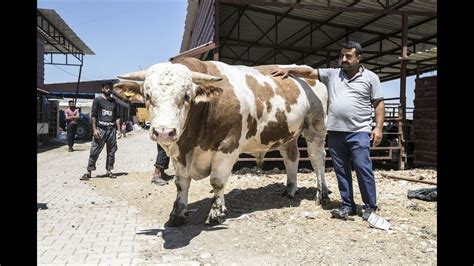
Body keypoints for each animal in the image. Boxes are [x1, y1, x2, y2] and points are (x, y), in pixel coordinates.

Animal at [115, 56, 330, 227]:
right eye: (147, 96)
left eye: (186, 96)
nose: (164, 132)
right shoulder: (179, 155)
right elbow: (181, 184)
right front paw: (177, 214)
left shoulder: (228, 146)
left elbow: (217, 181)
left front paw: (216, 213)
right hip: (287, 133)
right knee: (291, 157)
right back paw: (291, 190)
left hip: (316, 127)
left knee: (316, 158)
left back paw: (322, 195)